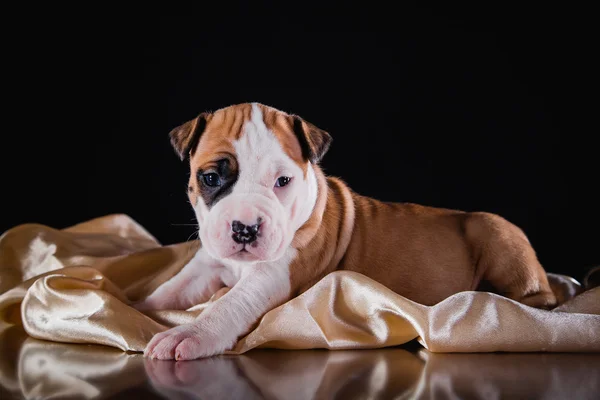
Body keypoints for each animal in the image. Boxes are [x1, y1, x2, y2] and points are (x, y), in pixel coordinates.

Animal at [137, 102, 556, 360]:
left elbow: (231, 303)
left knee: (536, 300)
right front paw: (137, 307)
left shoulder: (272, 275)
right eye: (210, 178)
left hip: (497, 231)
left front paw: (190, 333)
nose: (245, 229)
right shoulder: (207, 265)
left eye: (283, 181)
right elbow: (168, 291)